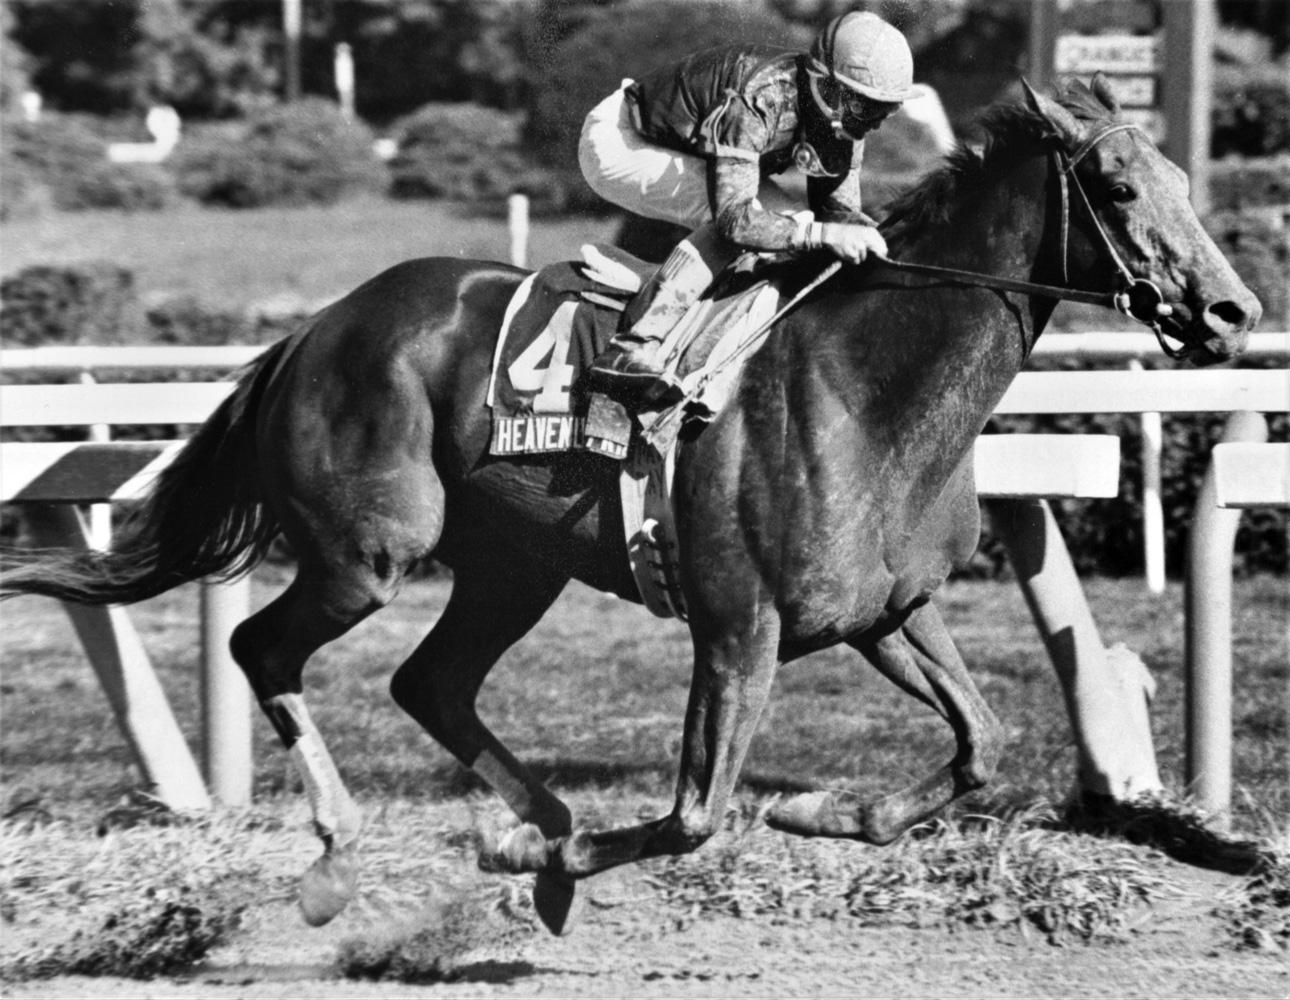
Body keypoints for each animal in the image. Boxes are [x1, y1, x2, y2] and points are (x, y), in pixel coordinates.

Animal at [0, 76, 1259, 929]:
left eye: (1187, 182)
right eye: (1117, 186)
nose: (1235, 311)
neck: (868, 387)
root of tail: (316, 326)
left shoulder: (884, 612)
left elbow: (981, 745)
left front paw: (822, 814)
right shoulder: (739, 628)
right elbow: (696, 813)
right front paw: (547, 864)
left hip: (514, 565)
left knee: (430, 681)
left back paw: (542, 820)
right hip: (372, 550)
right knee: (267, 648)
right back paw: (346, 857)